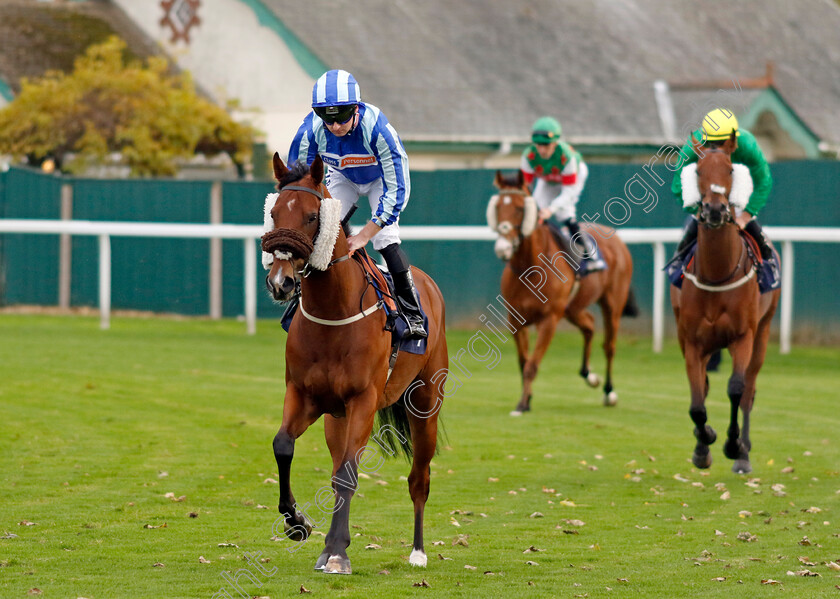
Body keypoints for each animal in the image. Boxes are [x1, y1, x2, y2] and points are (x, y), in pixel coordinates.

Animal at [262, 152, 450, 576]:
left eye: (311, 216)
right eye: (274, 212)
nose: (281, 282)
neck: (334, 312)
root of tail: (428, 283)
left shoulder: (364, 399)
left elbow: (349, 474)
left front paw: (338, 553)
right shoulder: (304, 395)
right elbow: (284, 446)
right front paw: (298, 524)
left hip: (425, 405)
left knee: (419, 478)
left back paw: (418, 552)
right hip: (337, 418)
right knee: (336, 470)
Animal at [486, 171, 636, 414]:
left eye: (519, 208)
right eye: (498, 206)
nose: (503, 248)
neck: (531, 268)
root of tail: (616, 239)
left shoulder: (549, 319)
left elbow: (532, 364)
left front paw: (522, 404)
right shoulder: (515, 320)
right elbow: (523, 362)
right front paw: (527, 399)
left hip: (612, 304)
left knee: (609, 346)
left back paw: (609, 391)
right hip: (572, 308)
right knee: (589, 325)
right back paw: (589, 375)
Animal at [668, 134, 780, 476]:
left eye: (731, 170)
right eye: (698, 170)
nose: (716, 210)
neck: (717, 275)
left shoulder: (743, 336)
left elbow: (736, 389)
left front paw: (733, 445)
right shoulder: (691, 341)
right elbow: (697, 401)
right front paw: (703, 444)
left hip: (763, 334)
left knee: (749, 391)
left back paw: (743, 454)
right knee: (704, 388)